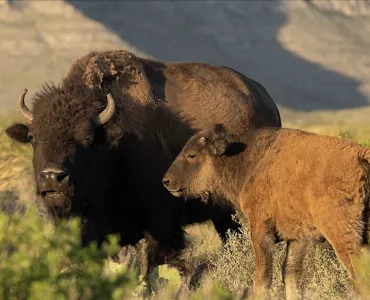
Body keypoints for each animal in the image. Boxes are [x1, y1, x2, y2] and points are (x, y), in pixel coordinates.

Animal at [5, 49, 280, 276]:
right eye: (33, 137)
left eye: (88, 138)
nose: (52, 177)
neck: (114, 149)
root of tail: (266, 100)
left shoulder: (162, 227)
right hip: (223, 213)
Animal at [163, 123, 370, 298]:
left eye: (191, 154)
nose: (166, 181)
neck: (248, 160)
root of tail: (361, 156)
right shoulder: (298, 238)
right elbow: (290, 276)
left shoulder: (261, 230)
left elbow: (263, 277)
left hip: (343, 236)